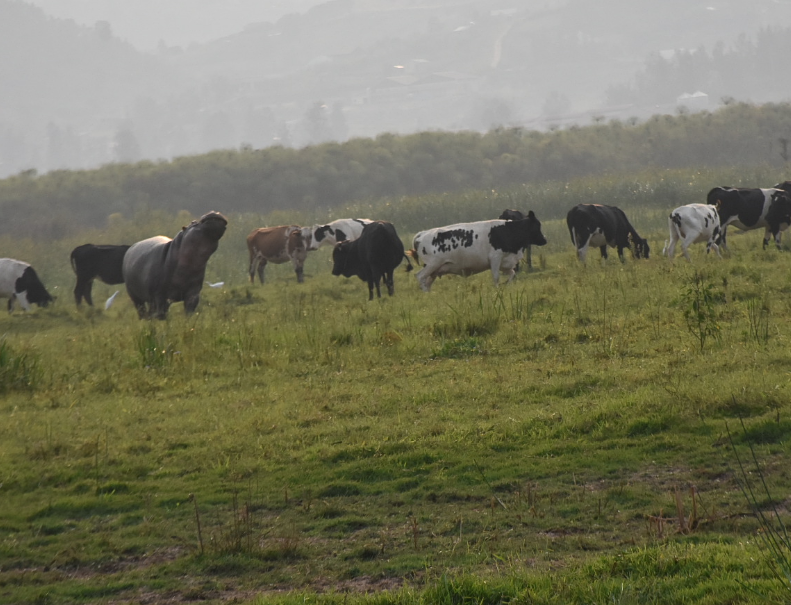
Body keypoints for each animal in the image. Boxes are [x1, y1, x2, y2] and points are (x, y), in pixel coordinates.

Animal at [408, 212, 544, 292]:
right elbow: (496, 276)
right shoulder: (495, 258)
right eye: (537, 226)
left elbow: (512, 273)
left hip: (436, 269)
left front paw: (506, 285)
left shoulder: (505, 261)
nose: (545, 240)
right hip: (432, 264)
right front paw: (497, 289)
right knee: (420, 276)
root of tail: (422, 233)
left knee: (427, 282)